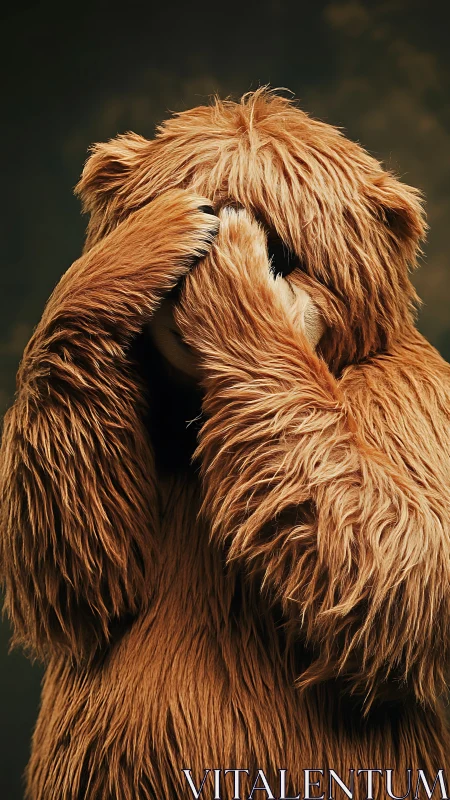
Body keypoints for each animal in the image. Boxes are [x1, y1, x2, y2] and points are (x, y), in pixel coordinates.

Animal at [1, 88, 450, 799]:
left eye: (287, 253)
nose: (217, 231)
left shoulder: (413, 398)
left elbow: (402, 556)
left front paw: (235, 279)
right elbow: (78, 566)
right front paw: (148, 240)